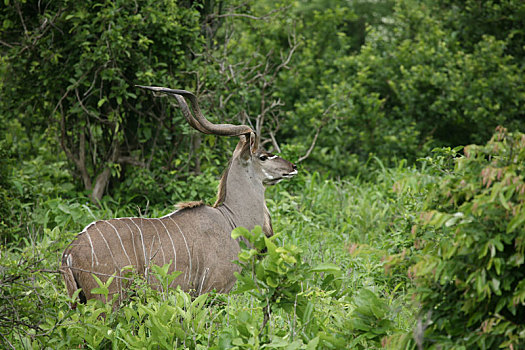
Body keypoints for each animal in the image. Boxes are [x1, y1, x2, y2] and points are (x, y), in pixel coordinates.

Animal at [60, 86, 298, 304]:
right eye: (263, 156)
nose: (293, 167)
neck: (230, 220)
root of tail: (69, 252)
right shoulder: (214, 290)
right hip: (107, 299)